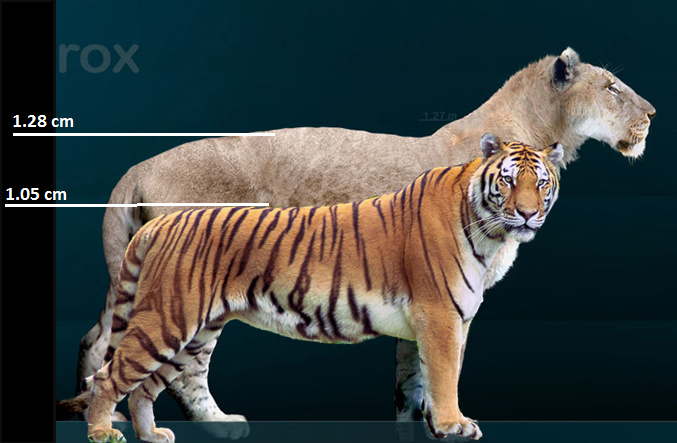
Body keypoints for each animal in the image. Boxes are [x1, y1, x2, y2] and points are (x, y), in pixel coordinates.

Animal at [85, 133, 562, 442]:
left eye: (541, 183)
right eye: (507, 180)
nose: (526, 214)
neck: (487, 231)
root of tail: (164, 223)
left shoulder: (438, 321)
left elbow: (418, 379)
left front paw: (425, 425)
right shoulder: (440, 314)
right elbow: (444, 375)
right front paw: (454, 425)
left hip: (194, 332)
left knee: (150, 384)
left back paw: (153, 434)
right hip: (168, 319)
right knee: (110, 375)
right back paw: (104, 432)